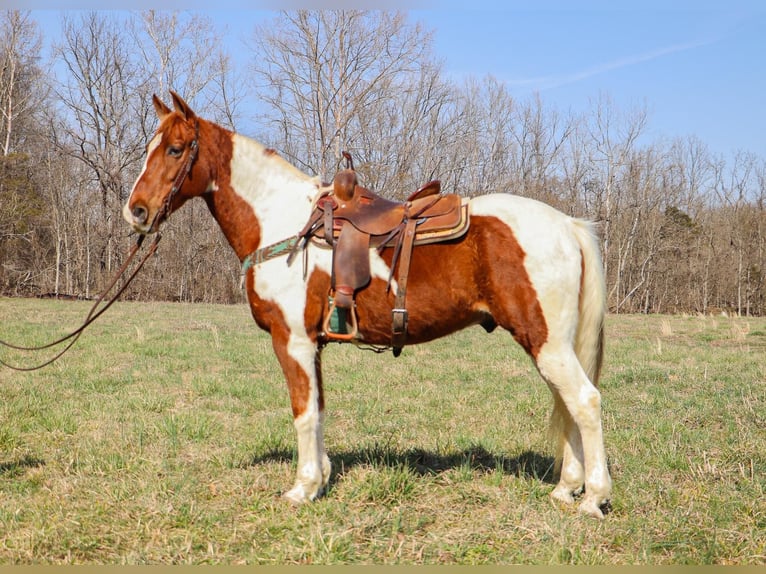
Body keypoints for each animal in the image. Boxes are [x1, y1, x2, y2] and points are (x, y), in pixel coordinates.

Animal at [123, 92, 616, 520]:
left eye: (175, 149)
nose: (137, 212)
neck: (281, 223)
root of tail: (567, 224)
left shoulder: (293, 342)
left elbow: (303, 412)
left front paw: (302, 488)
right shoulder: (314, 345)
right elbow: (319, 409)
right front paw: (321, 479)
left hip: (547, 344)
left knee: (585, 401)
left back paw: (593, 498)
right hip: (550, 345)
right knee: (568, 403)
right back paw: (565, 489)